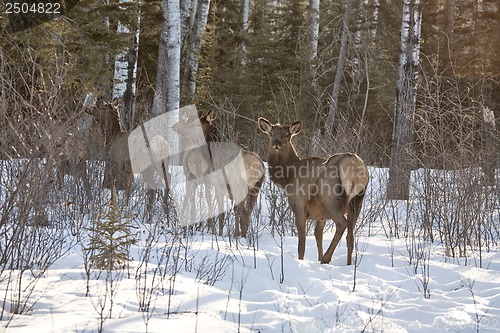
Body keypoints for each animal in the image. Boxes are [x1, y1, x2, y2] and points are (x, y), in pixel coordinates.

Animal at [258, 117, 368, 264]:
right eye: (271, 134)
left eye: (287, 135)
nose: (276, 142)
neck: (288, 178)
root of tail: (354, 166)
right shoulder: (320, 215)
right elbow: (318, 236)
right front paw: (318, 257)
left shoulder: (299, 206)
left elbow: (302, 242)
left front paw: (302, 260)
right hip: (357, 200)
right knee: (350, 236)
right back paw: (348, 264)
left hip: (330, 199)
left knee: (341, 224)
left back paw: (327, 258)